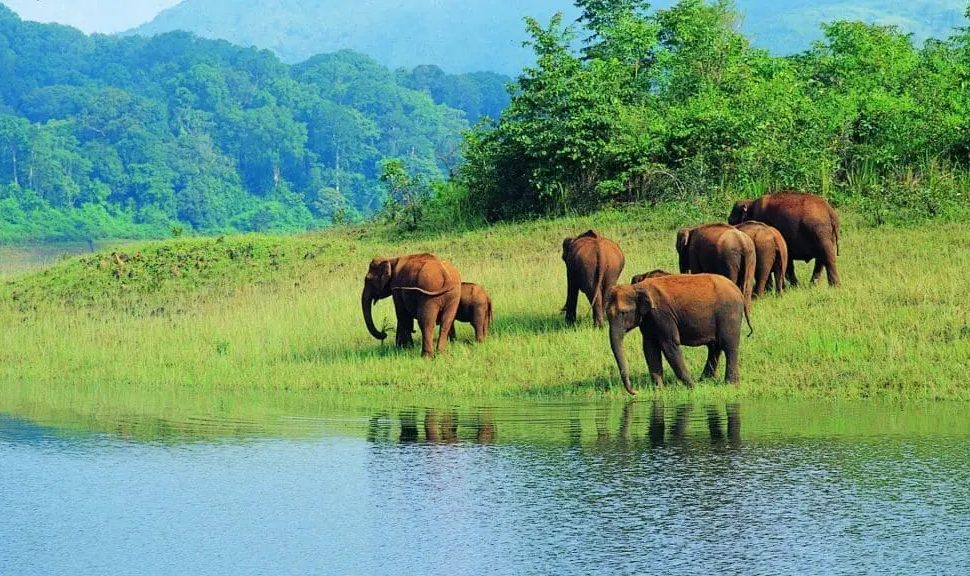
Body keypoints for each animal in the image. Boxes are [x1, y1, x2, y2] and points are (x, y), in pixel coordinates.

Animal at [607, 274, 753, 394]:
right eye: (607, 314)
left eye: (623, 313)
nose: (635, 392)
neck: (636, 288)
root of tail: (739, 292)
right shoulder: (649, 319)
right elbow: (649, 348)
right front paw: (659, 390)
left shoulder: (661, 314)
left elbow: (669, 345)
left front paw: (692, 388)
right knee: (714, 347)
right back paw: (704, 380)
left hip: (729, 314)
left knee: (728, 346)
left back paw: (730, 384)